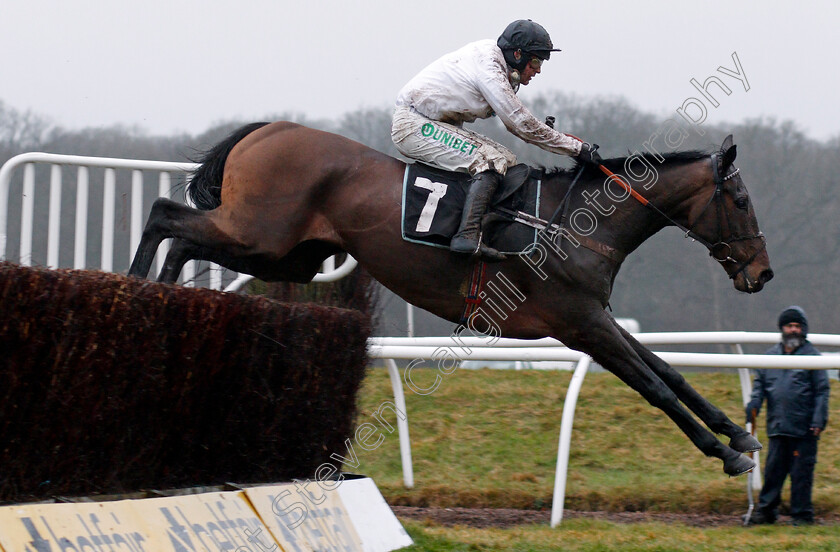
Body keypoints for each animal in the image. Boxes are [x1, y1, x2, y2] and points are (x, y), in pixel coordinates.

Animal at [126, 123, 776, 476]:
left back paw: (163, 295)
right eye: (743, 201)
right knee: (164, 215)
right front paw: (726, 453)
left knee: (183, 238)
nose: (762, 274)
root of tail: (267, 129)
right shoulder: (578, 322)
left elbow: (671, 371)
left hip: (285, 255)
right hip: (260, 232)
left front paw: (740, 435)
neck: (576, 223)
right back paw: (135, 288)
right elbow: (655, 387)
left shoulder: (597, 317)